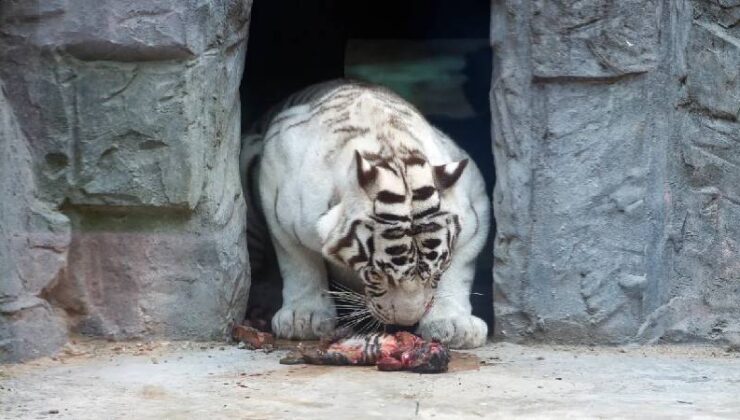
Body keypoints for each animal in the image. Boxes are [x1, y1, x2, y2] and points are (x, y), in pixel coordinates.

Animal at [243, 79, 492, 348]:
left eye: (437, 270)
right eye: (377, 274)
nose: (407, 321)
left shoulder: (475, 204)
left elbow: (459, 269)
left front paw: (454, 324)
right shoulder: (276, 186)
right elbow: (299, 261)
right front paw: (304, 317)